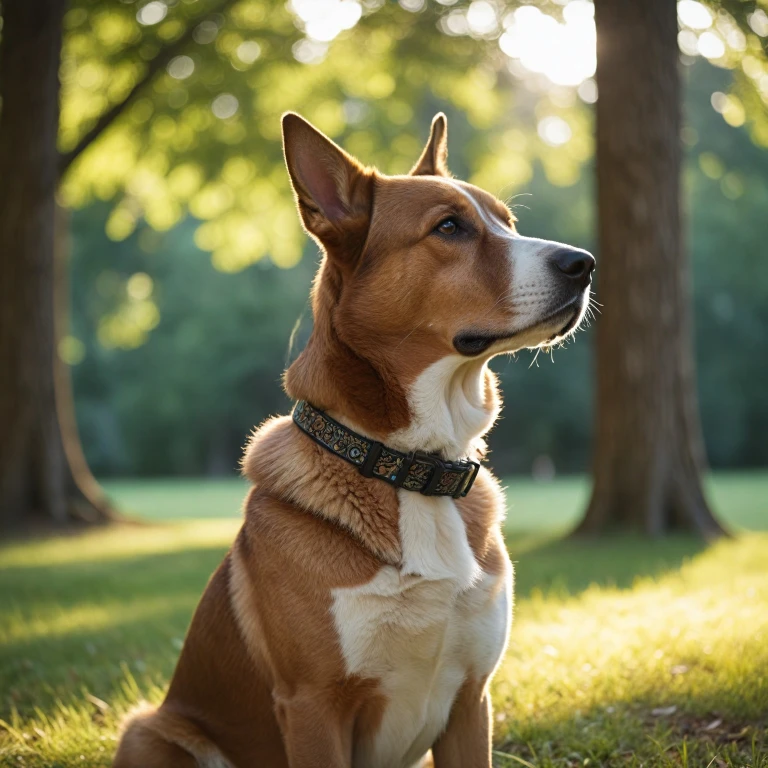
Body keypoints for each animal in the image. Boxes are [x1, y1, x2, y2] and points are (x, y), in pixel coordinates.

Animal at [112, 109, 592, 768]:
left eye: (508, 223)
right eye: (449, 227)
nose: (585, 263)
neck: (414, 467)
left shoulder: (472, 701)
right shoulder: (314, 707)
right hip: (149, 729)